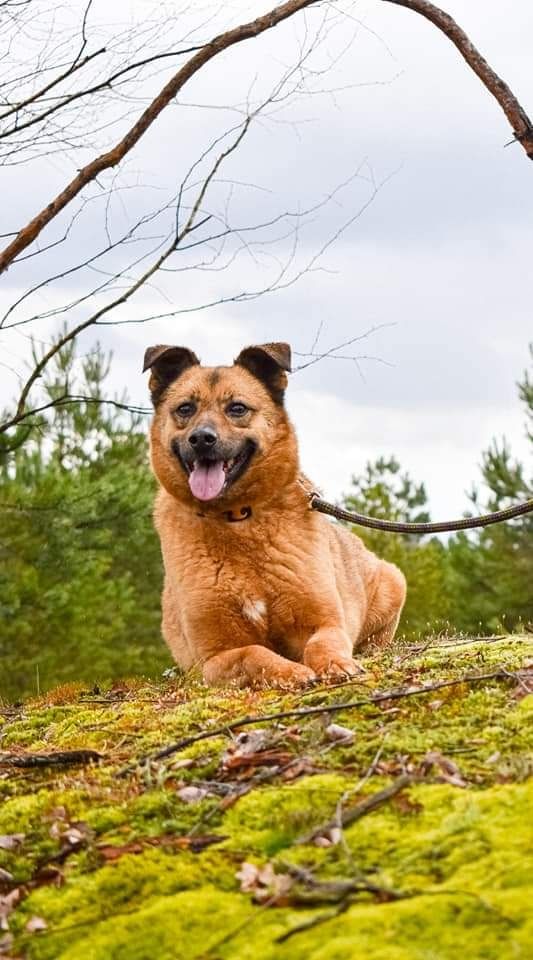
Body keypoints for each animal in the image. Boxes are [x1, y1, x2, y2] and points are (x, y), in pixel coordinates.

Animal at [143, 342, 406, 688]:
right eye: (185, 409)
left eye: (237, 409)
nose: (201, 439)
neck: (237, 516)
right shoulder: (214, 659)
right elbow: (254, 653)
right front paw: (290, 671)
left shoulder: (326, 623)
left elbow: (323, 643)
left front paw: (335, 663)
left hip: (392, 582)